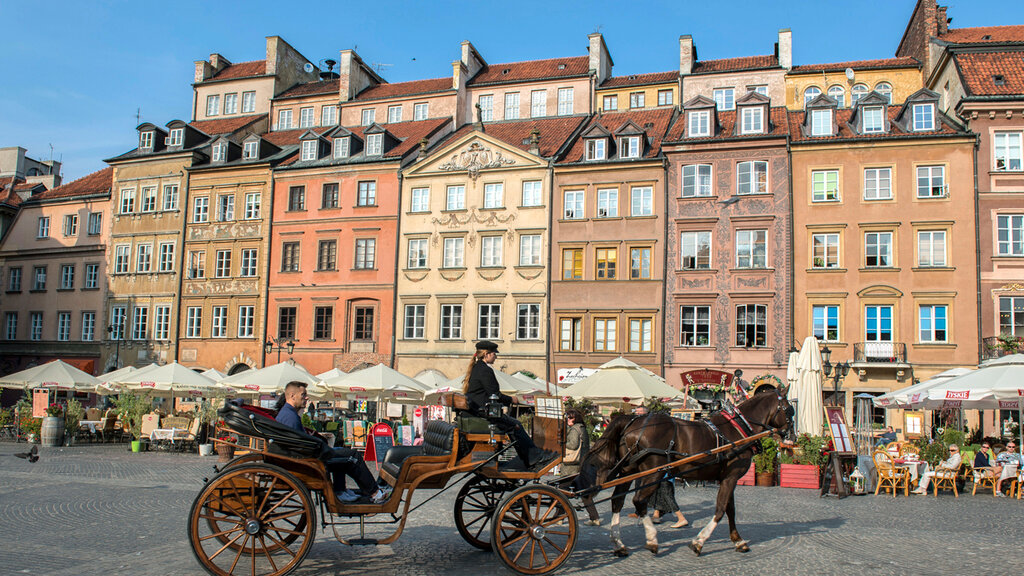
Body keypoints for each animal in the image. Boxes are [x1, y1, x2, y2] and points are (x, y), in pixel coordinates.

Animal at [585, 387, 790, 553]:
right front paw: (699, 541)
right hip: (653, 473)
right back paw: (651, 539)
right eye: (789, 409)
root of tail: (633, 420)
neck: (737, 429)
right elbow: (720, 510)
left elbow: (730, 509)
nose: (790, 435)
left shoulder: (727, 478)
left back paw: (619, 543)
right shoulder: (731, 478)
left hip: (629, 471)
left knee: (617, 501)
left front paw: (738, 541)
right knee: (639, 500)